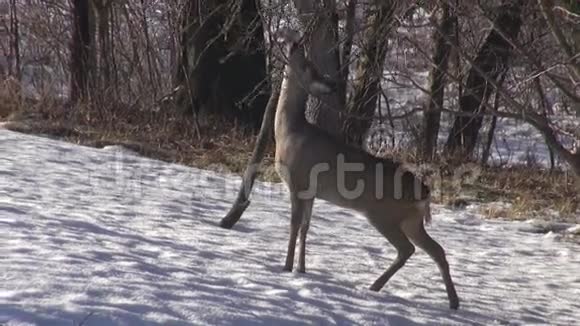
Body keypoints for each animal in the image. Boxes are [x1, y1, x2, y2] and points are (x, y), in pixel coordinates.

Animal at [274, 28, 460, 310]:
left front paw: (286, 268)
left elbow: (294, 225)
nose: (331, 84)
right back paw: (453, 302)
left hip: (382, 214)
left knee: (407, 249)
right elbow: (306, 227)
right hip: (411, 221)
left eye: (310, 65)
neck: (288, 132)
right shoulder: (311, 192)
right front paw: (302, 269)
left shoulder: (298, 182)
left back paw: (374, 286)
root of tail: (425, 192)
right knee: (436, 249)